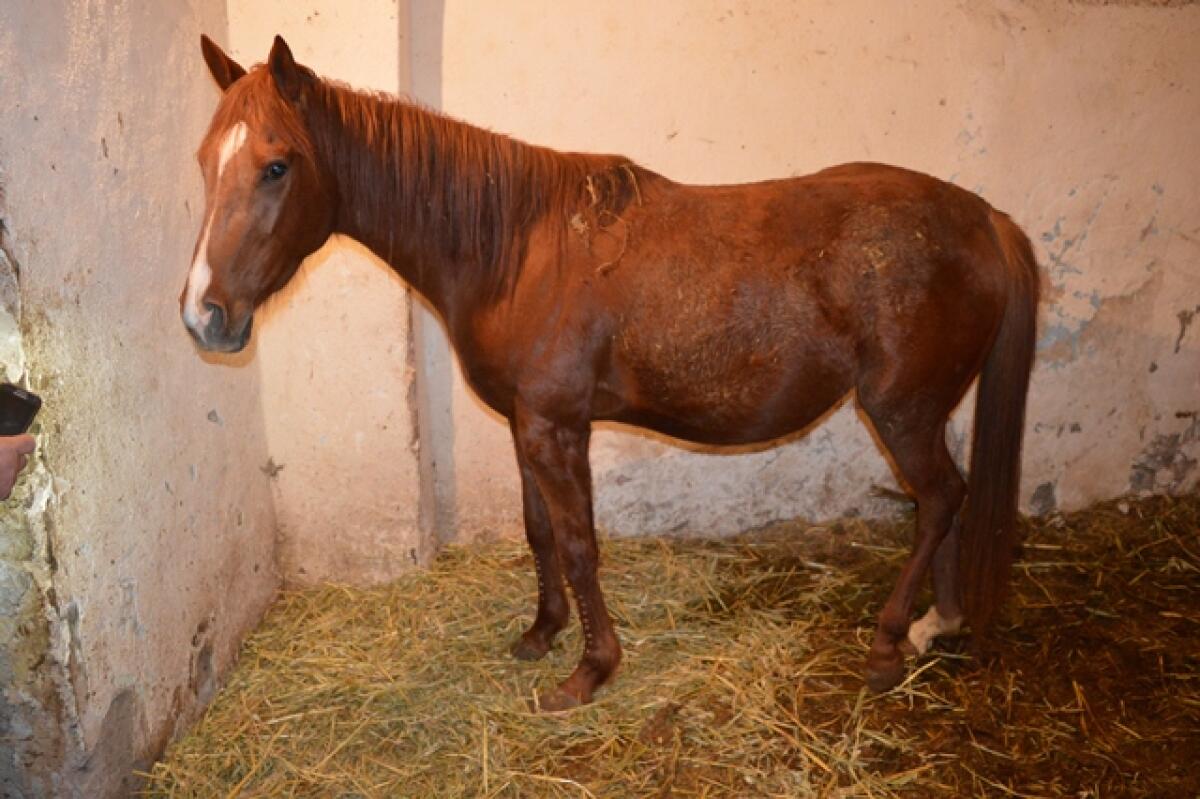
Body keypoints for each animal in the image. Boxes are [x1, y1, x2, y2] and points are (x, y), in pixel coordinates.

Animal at [182, 35, 1039, 711]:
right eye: (204, 163)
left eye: (277, 166)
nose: (203, 314)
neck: (516, 249)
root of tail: (982, 218)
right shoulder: (526, 422)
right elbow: (540, 532)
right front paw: (541, 632)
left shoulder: (559, 427)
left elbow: (579, 542)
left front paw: (590, 669)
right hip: (927, 409)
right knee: (947, 501)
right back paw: (939, 622)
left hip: (900, 410)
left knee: (938, 499)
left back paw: (890, 641)